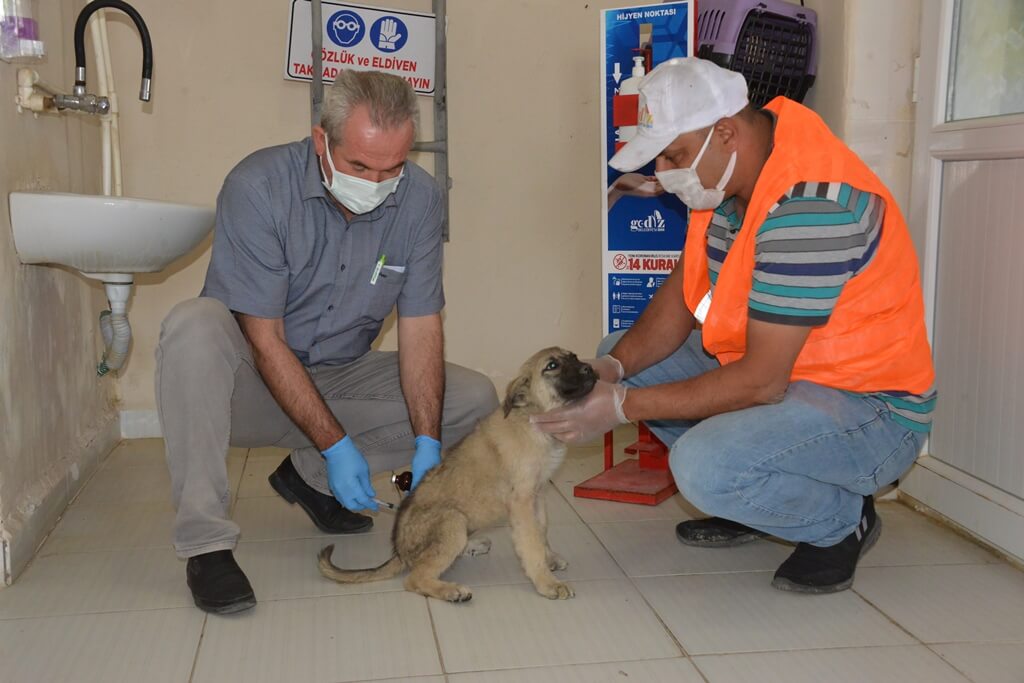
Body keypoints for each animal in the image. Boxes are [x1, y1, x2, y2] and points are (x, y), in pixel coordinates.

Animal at [315, 350, 598, 602]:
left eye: (573, 357)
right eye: (552, 366)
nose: (590, 369)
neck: (531, 419)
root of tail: (399, 552)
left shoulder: (537, 496)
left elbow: (542, 533)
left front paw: (550, 560)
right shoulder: (522, 503)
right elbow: (532, 545)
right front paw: (547, 584)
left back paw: (472, 547)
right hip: (452, 520)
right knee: (415, 578)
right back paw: (450, 590)